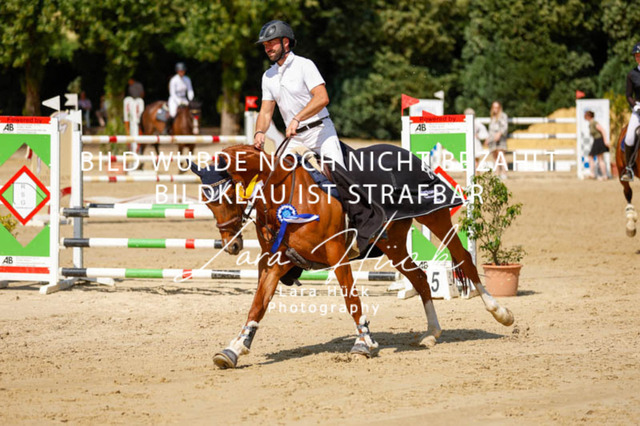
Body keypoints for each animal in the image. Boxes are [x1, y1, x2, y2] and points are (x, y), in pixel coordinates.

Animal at [191, 144, 515, 369]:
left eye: (228, 195)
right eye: (207, 200)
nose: (231, 245)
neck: (284, 194)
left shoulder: (337, 256)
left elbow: (352, 300)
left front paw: (364, 342)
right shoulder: (277, 261)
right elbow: (258, 305)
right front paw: (234, 349)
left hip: (435, 218)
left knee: (464, 259)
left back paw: (500, 312)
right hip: (393, 244)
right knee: (421, 278)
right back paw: (432, 333)